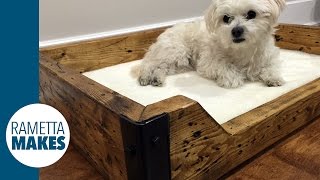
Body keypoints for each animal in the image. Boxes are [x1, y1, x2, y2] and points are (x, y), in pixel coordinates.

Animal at [138, 0, 284, 88]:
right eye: (226, 18)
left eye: (251, 14)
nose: (236, 30)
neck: (242, 50)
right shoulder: (208, 63)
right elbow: (225, 67)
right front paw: (233, 78)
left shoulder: (268, 57)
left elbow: (271, 67)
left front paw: (273, 78)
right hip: (176, 52)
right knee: (149, 65)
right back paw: (144, 77)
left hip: (180, 64)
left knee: (161, 68)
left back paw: (156, 78)